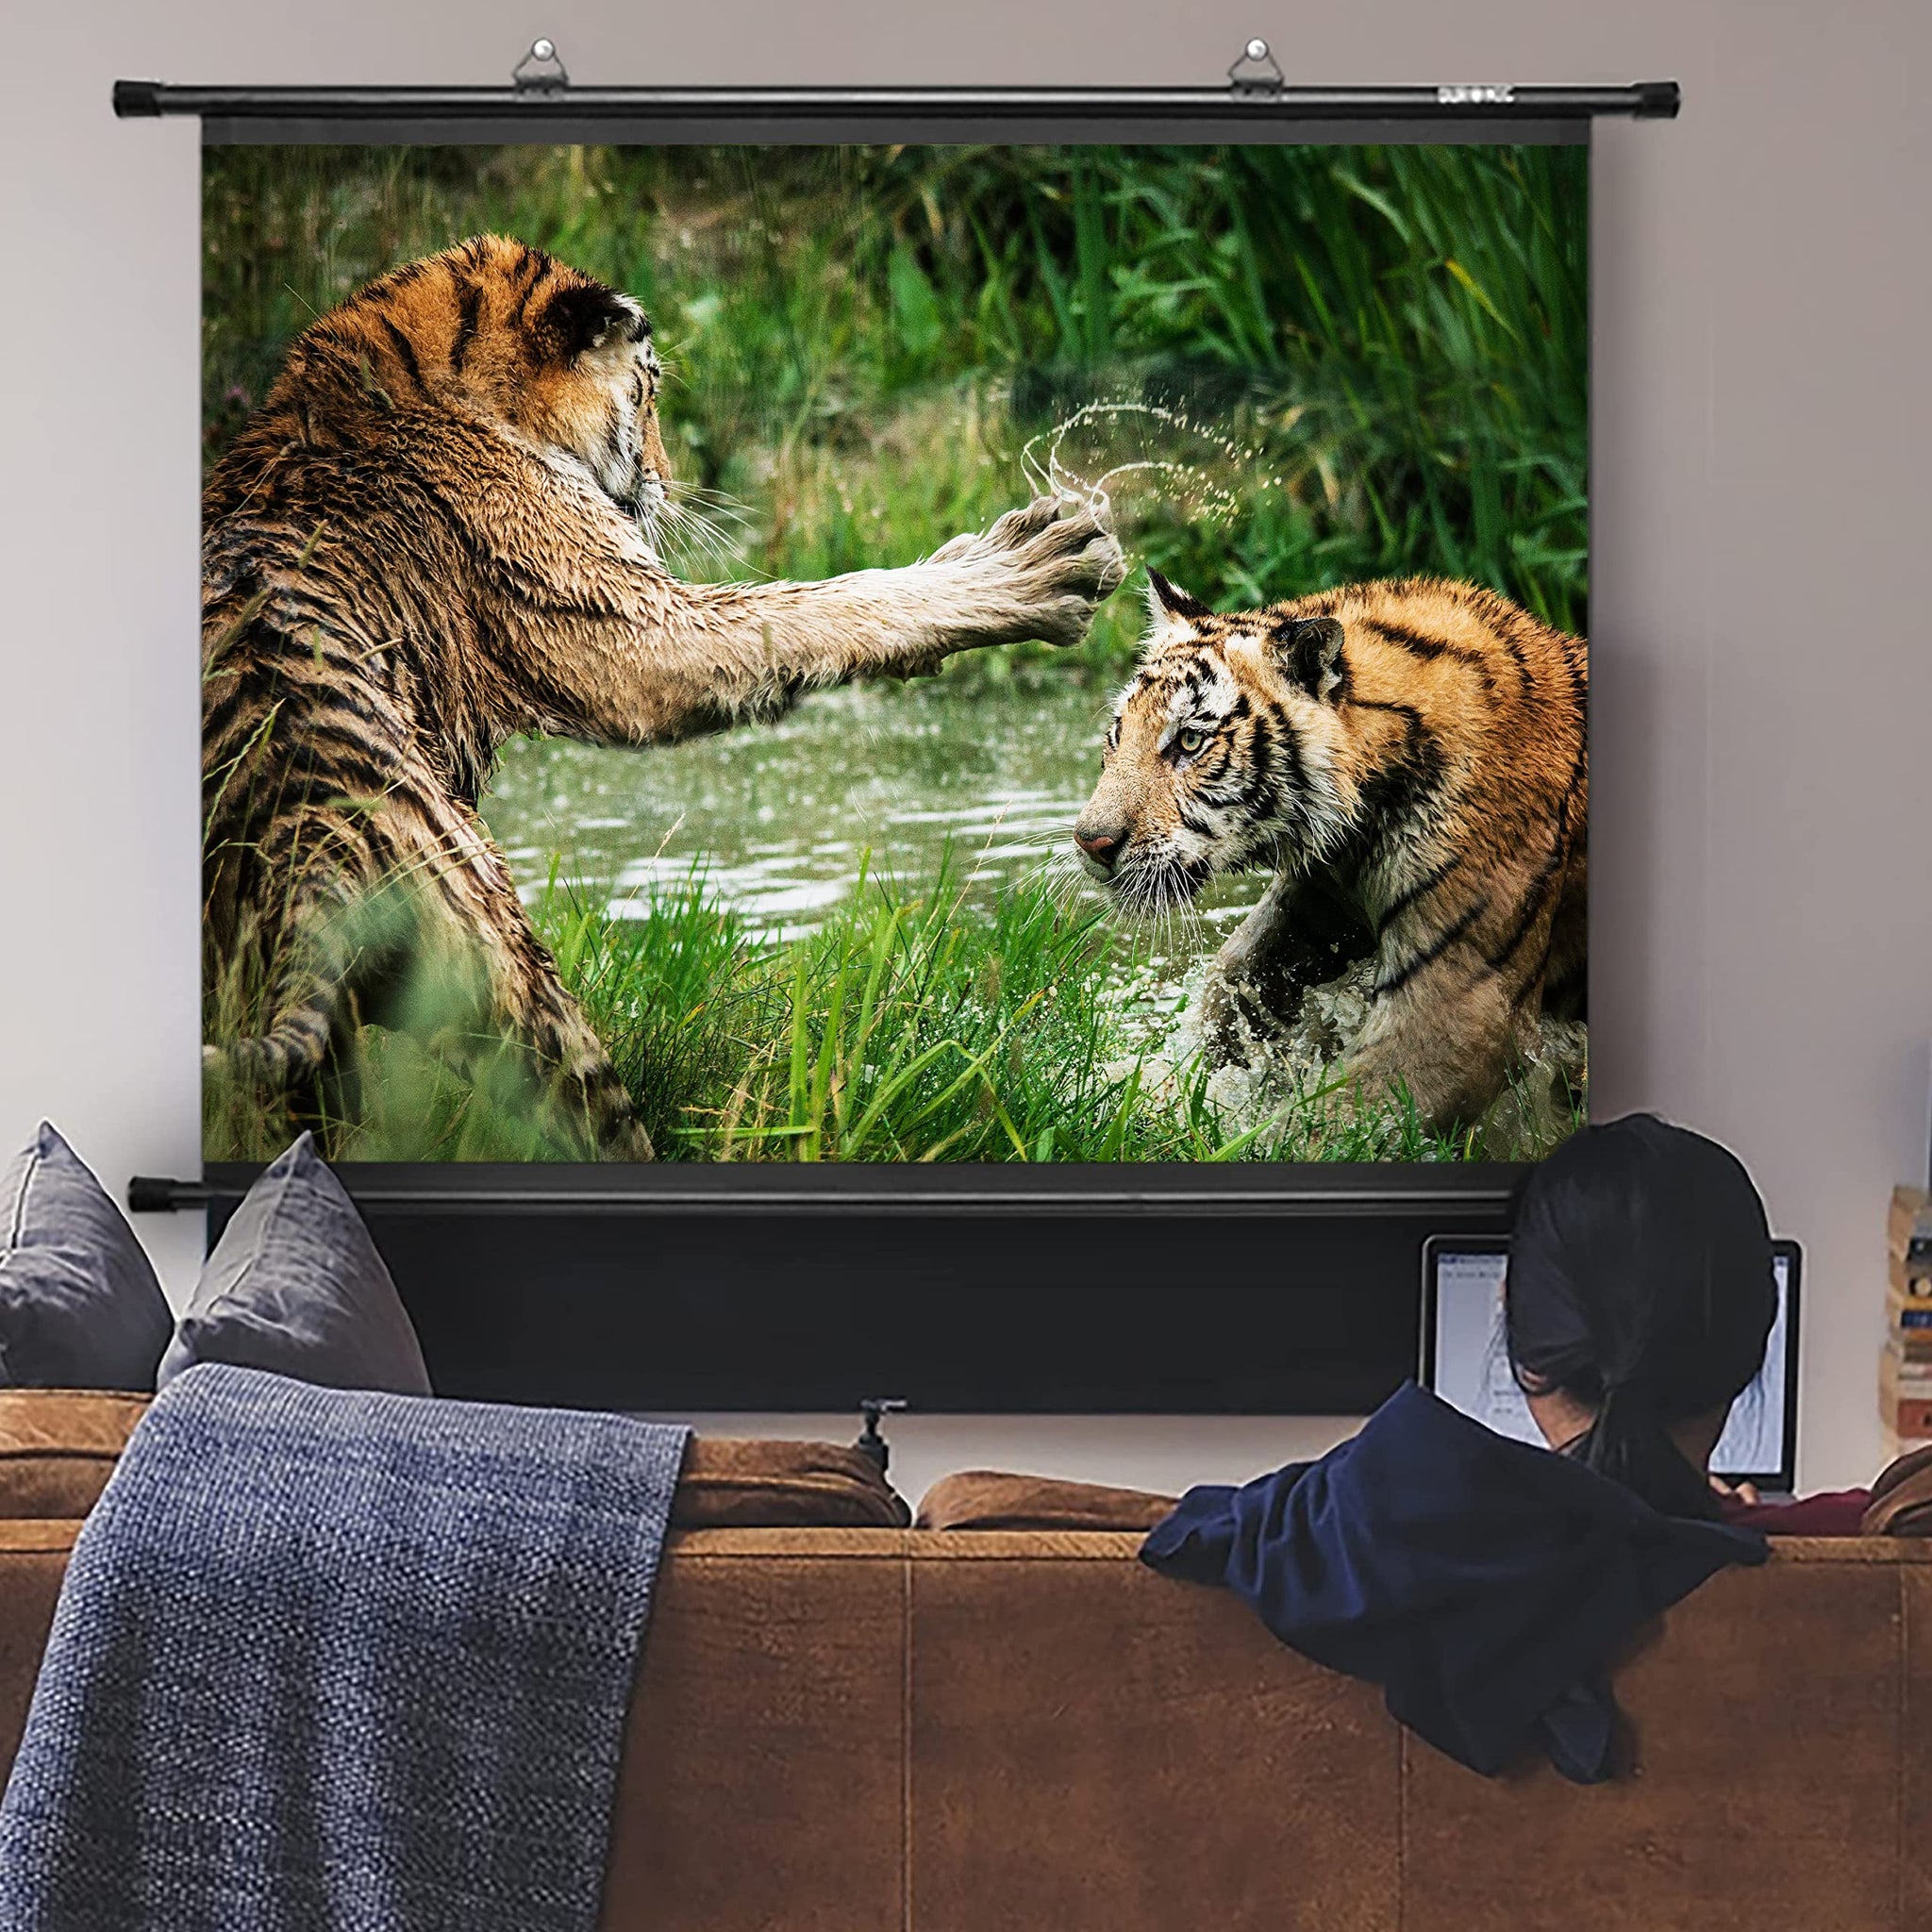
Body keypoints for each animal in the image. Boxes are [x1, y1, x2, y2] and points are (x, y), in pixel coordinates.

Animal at [203, 234, 1123, 1158]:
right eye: (646, 394)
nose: (670, 482)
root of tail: (304, 843)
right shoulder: (636, 629)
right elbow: (820, 605)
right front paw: (1034, 567)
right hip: (505, 964)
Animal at [1072, 571, 1586, 1133]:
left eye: (1189, 741)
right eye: (1118, 735)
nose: (1090, 841)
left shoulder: (1461, 1011)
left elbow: (1326, 1121)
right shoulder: (1317, 901)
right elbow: (1230, 983)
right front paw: (1144, 1094)